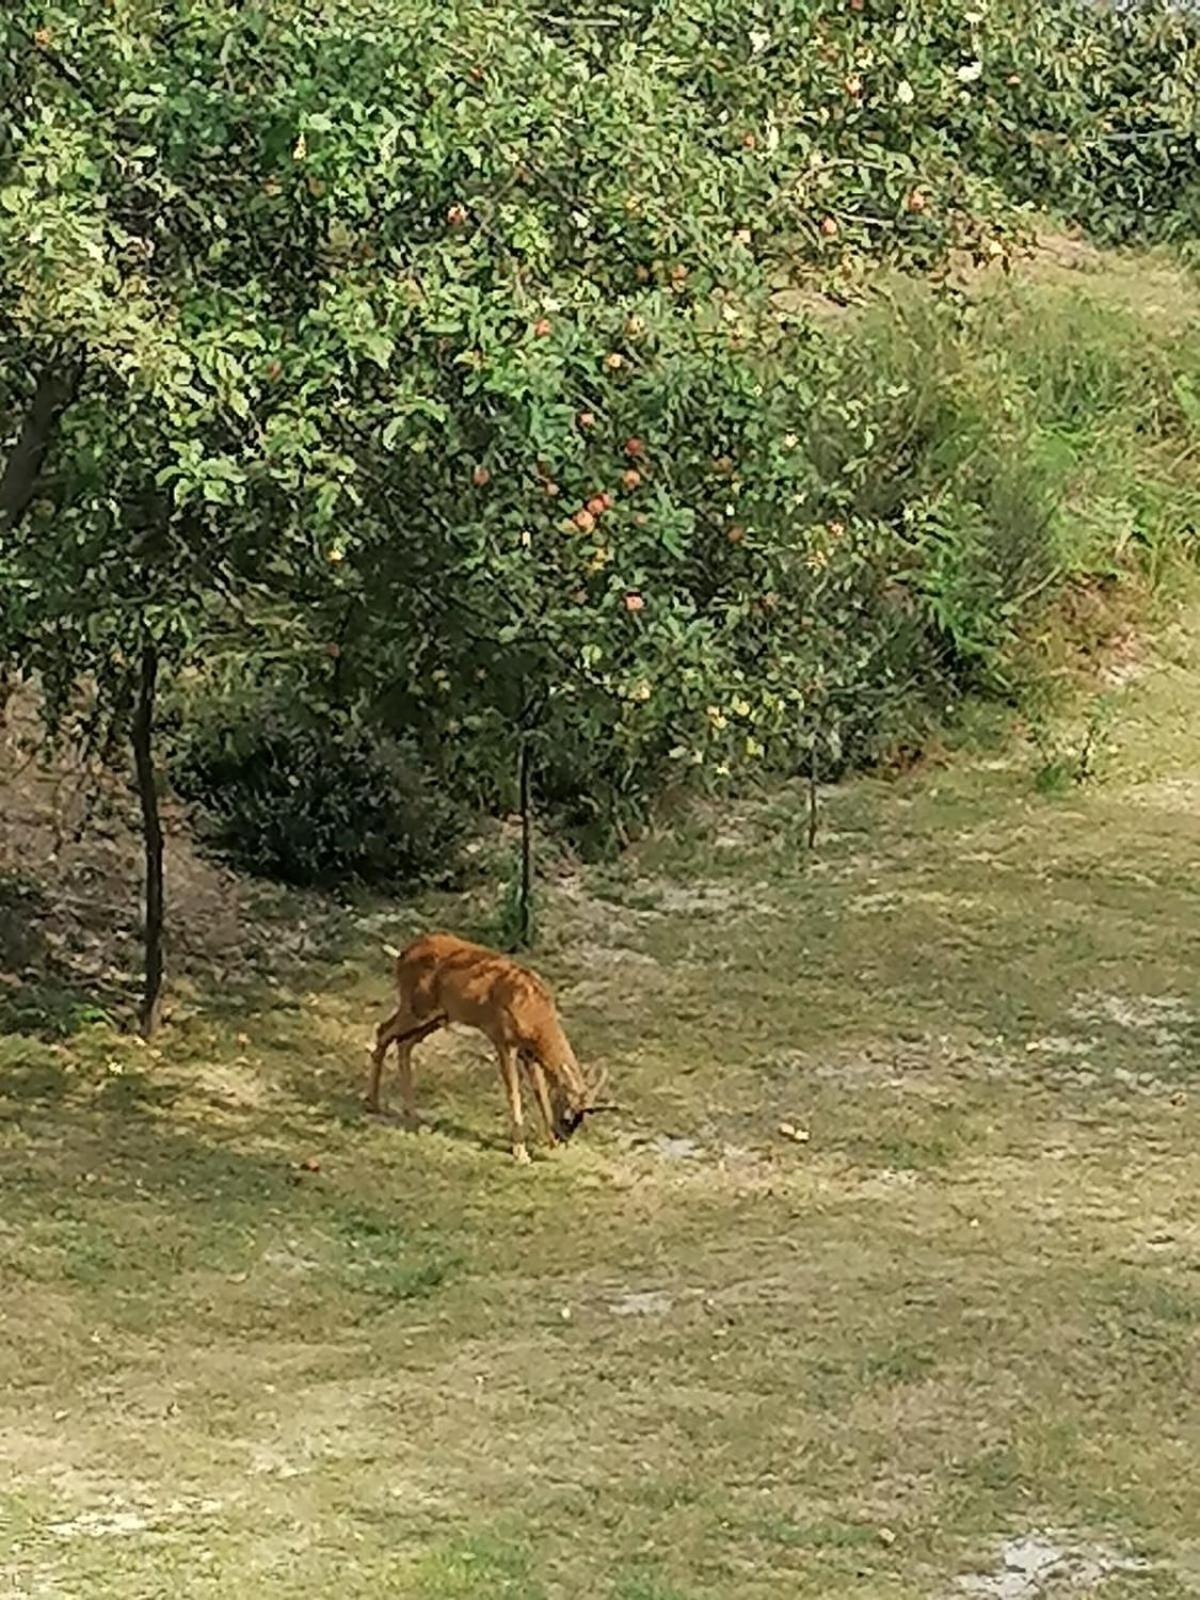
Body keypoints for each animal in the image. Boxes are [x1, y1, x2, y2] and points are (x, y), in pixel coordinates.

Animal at [366, 928, 611, 1164]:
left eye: (582, 1117)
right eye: (568, 1114)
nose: (563, 1136)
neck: (533, 1012)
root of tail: (403, 953)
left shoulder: (529, 1053)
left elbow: (540, 1093)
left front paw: (549, 1144)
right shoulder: (503, 1040)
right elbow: (514, 1095)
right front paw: (521, 1154)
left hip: (438, 1016)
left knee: (403, 1043)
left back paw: (411, 1112)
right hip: (417, 1007)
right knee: (383, 1031)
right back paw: (374, 1104)